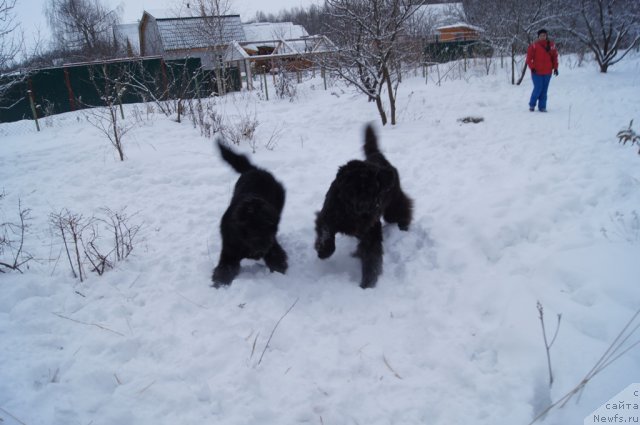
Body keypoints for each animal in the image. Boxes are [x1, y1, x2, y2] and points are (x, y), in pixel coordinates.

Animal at [212, 141, 288, 286]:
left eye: (270, 226)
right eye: (256, 227)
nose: (265, 247)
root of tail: (254, 169)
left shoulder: (272, 245)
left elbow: (276, 257)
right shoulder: (229, 252)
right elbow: (225, 268)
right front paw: (219, 283)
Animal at [314, 123, 412, 288]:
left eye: (376, 188)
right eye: (358, 188)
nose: (372, 206)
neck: (351, 212)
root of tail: (378, 156)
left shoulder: (371, 231)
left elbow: (372, 257)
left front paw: (367, 284)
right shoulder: (327, 216)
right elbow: (326, 233)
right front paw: (324, 250)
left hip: (392, 207)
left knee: (404, 208)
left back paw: (404, 226)